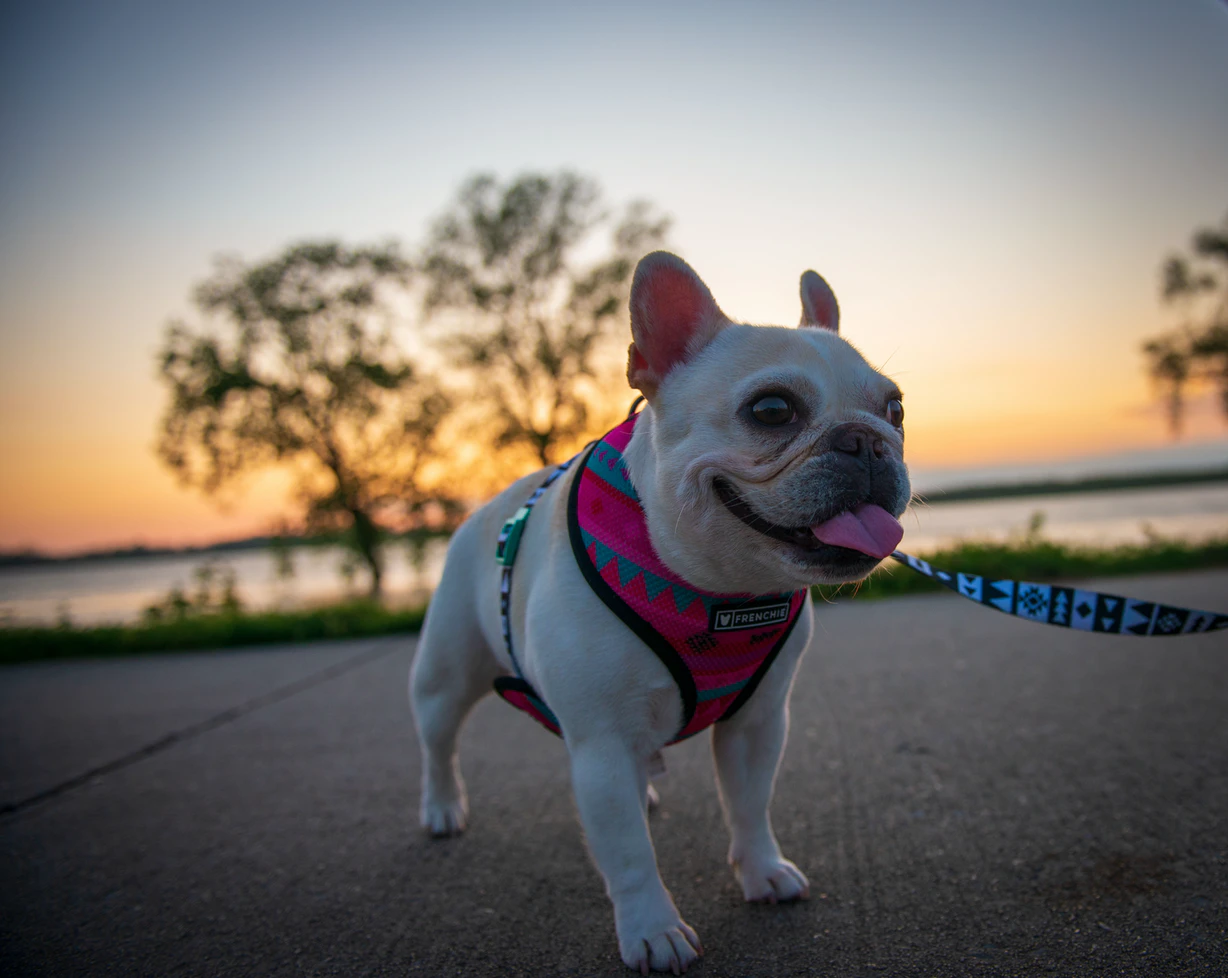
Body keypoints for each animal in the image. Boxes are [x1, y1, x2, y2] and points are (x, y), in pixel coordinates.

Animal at [412, 251, 913, 968]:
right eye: (772, 409)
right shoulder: (600, 745)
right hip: (445, 674)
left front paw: (763, 871)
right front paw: (652, 929)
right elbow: (627, 855)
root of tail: (485, 511)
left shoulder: (758, 724)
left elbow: (750, 805)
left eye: (895, 408)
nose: (868, 441)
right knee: (437, 740)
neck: (716, 592)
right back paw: (442, 808)